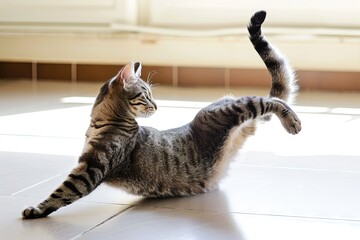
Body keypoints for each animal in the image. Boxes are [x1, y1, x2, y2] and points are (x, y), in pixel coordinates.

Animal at [21, 10, 300, 218]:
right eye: (146, 95)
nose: (156, 106)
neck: (102, 121)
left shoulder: (92, 167)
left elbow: (65, 191)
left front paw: (38, 209)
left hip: (227, 111)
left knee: (268, 100)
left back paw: (293, 121)